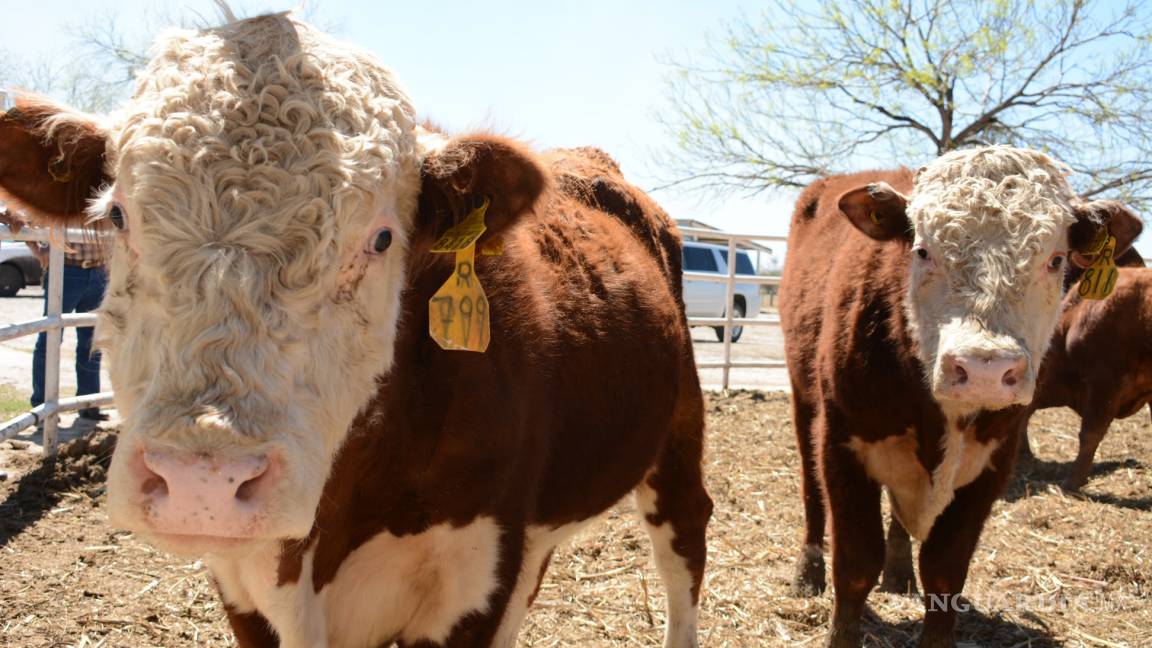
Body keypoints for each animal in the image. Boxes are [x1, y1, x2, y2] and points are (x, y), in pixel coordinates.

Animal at [0, 13, 709, 645]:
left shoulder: (475, 582)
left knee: (685, 545)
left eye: (382, 238)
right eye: (118, 215)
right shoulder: (242, 585)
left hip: (677, 435)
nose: (204, 482)